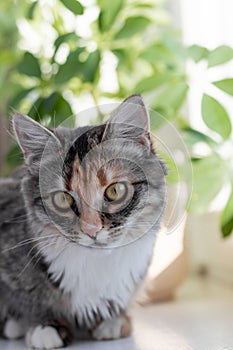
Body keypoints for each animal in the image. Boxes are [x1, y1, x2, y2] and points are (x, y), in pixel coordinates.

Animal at [0, 94, 166, 348]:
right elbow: (29, 299)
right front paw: (45, 327)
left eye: (115, 191)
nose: (91, 229)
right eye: (63, 198)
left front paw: (113, 321)